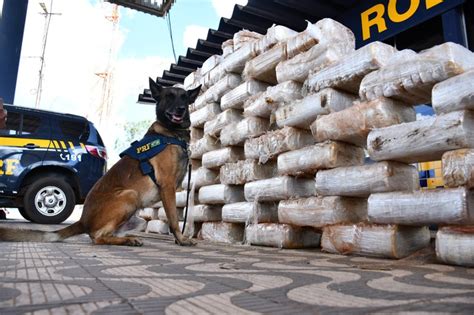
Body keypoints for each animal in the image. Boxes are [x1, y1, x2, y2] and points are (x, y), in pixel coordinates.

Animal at [0, 79, 201, 247]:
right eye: (169, 96)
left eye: (184, 98)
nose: (181, 109)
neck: (171, 134)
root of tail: (82, 221)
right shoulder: (167, 185)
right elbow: (174, 218)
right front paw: (181, 239)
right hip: (130, 195)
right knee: (97, 237)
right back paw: (127, 240)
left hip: (136, 219)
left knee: (107, 234)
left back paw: (128, 238)